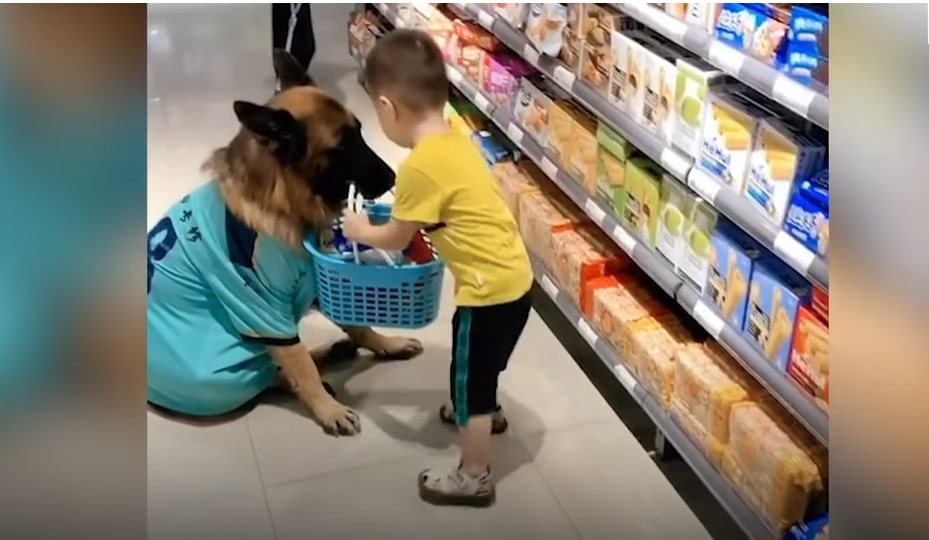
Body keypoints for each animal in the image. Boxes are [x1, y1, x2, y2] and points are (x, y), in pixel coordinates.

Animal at [147, 50, 422, 434]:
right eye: (343, 147)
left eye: (360, 133)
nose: (393, 177)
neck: (282, 198)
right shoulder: (260, 308)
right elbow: (299, 364)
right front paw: (327, 408)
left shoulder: (321, 283)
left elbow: (359, 325)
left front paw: (387, 343)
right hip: (218, 377)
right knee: (270, 377)